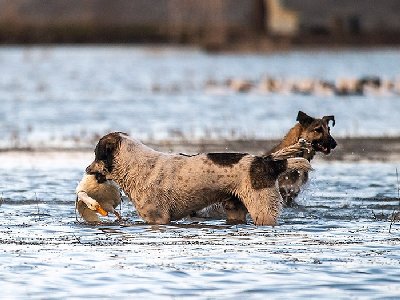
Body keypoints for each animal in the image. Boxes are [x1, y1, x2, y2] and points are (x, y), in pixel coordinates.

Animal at [85, 132, 312, 226]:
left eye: (96, 154)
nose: (86, 169)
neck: (134, 167)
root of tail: (267, 162)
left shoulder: (157, 218)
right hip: (235, 209)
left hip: (263, 209)